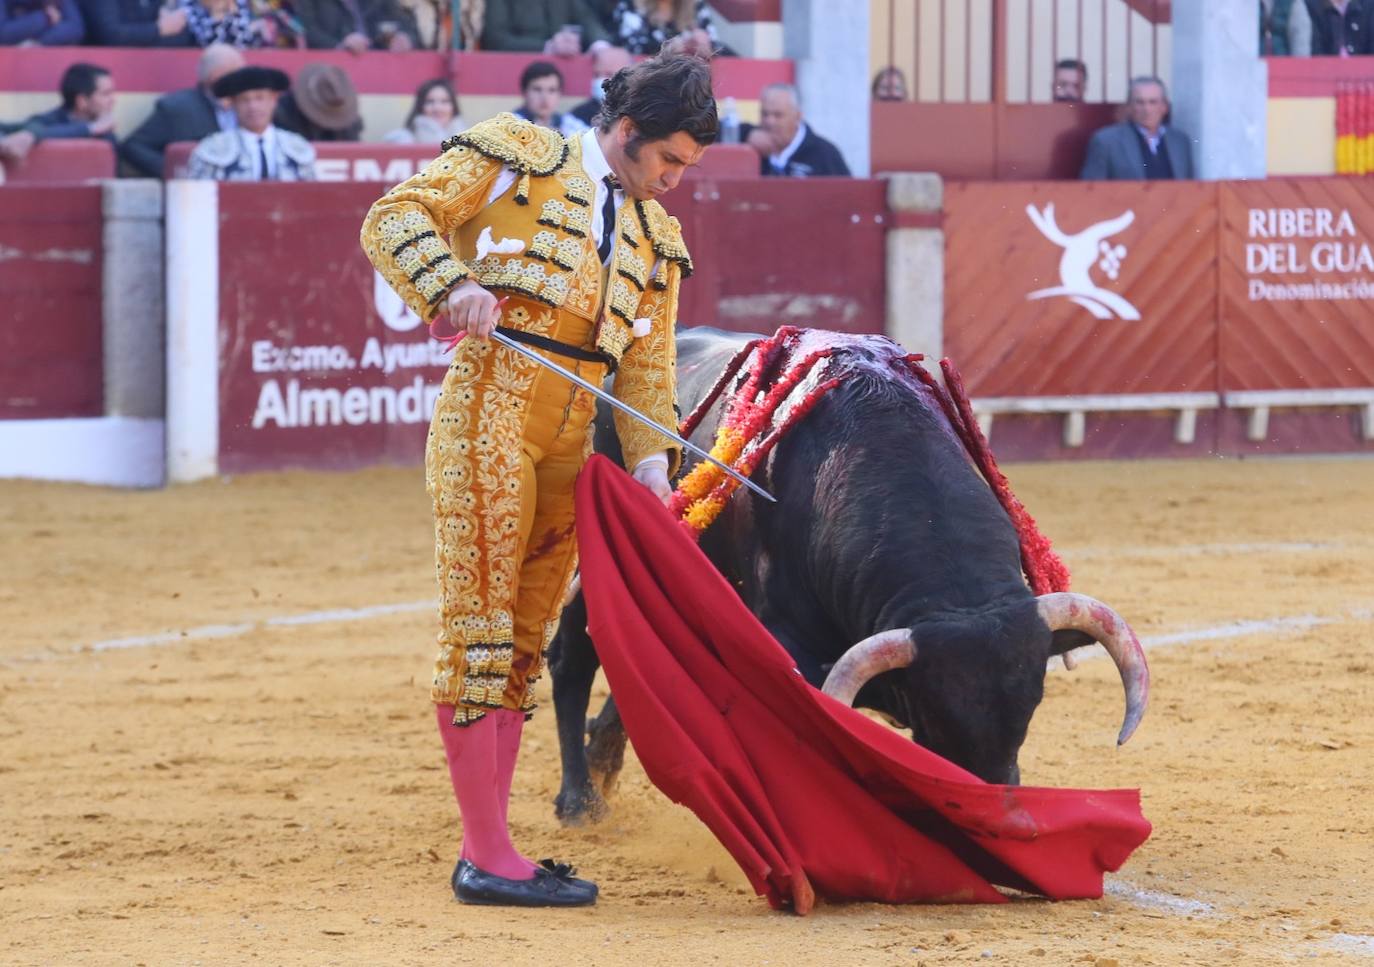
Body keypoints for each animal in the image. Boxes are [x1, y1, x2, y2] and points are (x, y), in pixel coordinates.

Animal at [546, 326, 1148, 824]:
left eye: (1031, 705)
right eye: (935, 711)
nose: (998, 817)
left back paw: (603, 761)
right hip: (582, 574)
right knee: (572, 664)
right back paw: (579, 802)